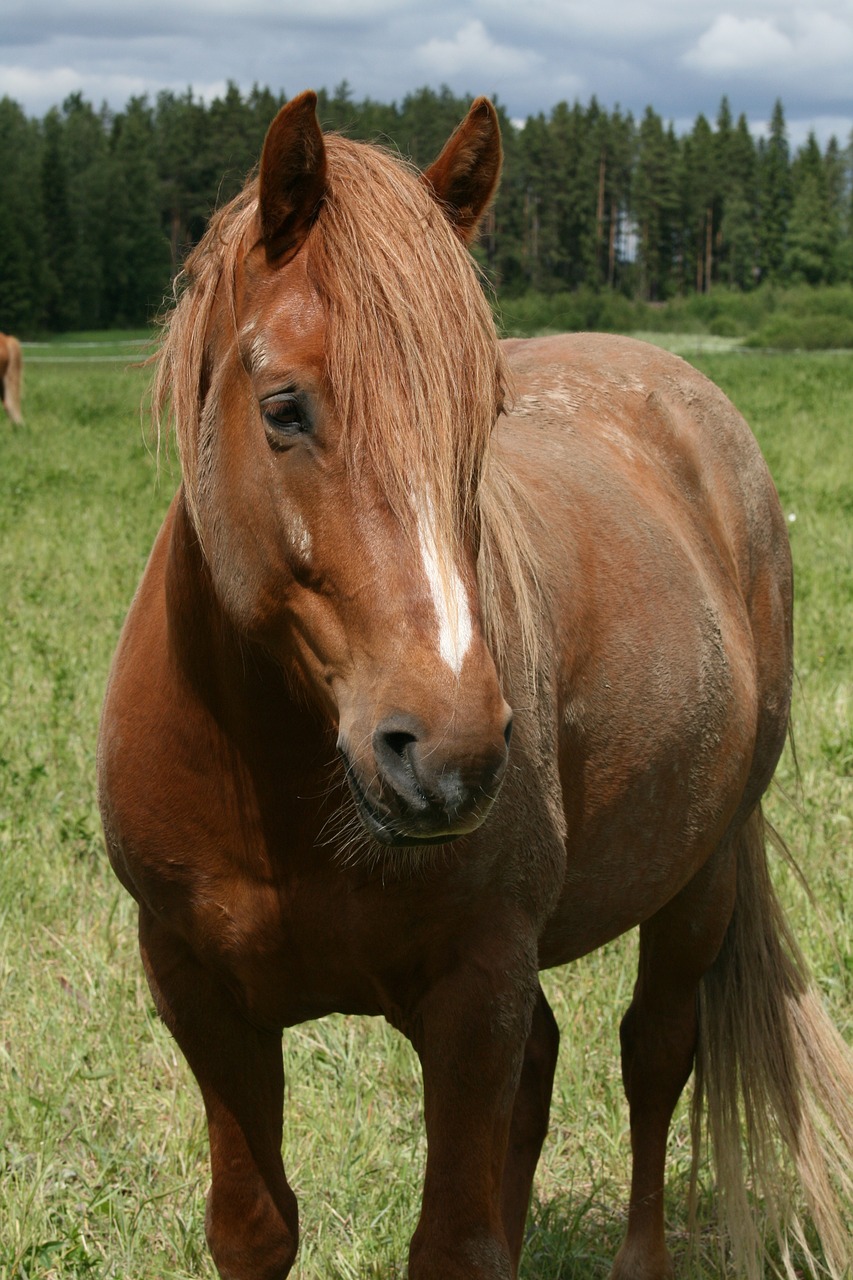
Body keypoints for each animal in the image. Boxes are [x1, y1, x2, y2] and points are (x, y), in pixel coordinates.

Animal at [99, 92, 850, 1280]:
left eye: (483, 413)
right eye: (284, 406)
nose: (449, 754)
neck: (279, 783)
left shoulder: (472, 994)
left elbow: (454, 1240)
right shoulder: (200, 995)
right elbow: (257, 1226)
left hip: (700, 876)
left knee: (653, 1055)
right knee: (543, 1075)